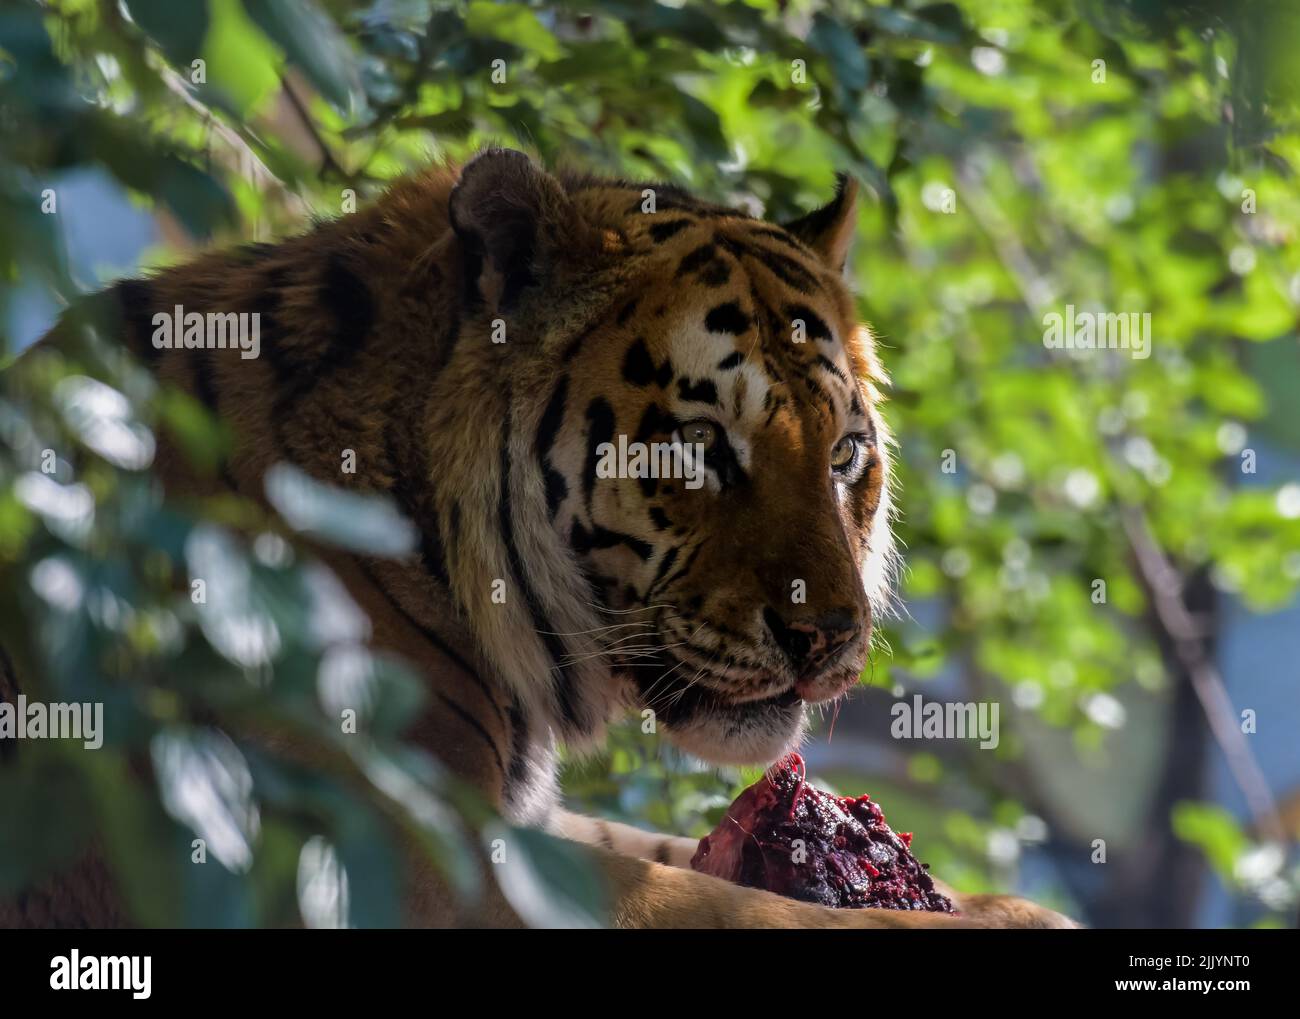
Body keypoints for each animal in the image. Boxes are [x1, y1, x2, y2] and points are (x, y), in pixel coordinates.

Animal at [1, 148, 1075, 928]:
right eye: (699, 447)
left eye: (846, 453)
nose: (830, 638)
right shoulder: (404, 849)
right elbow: (734, 908)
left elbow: (674, 855)